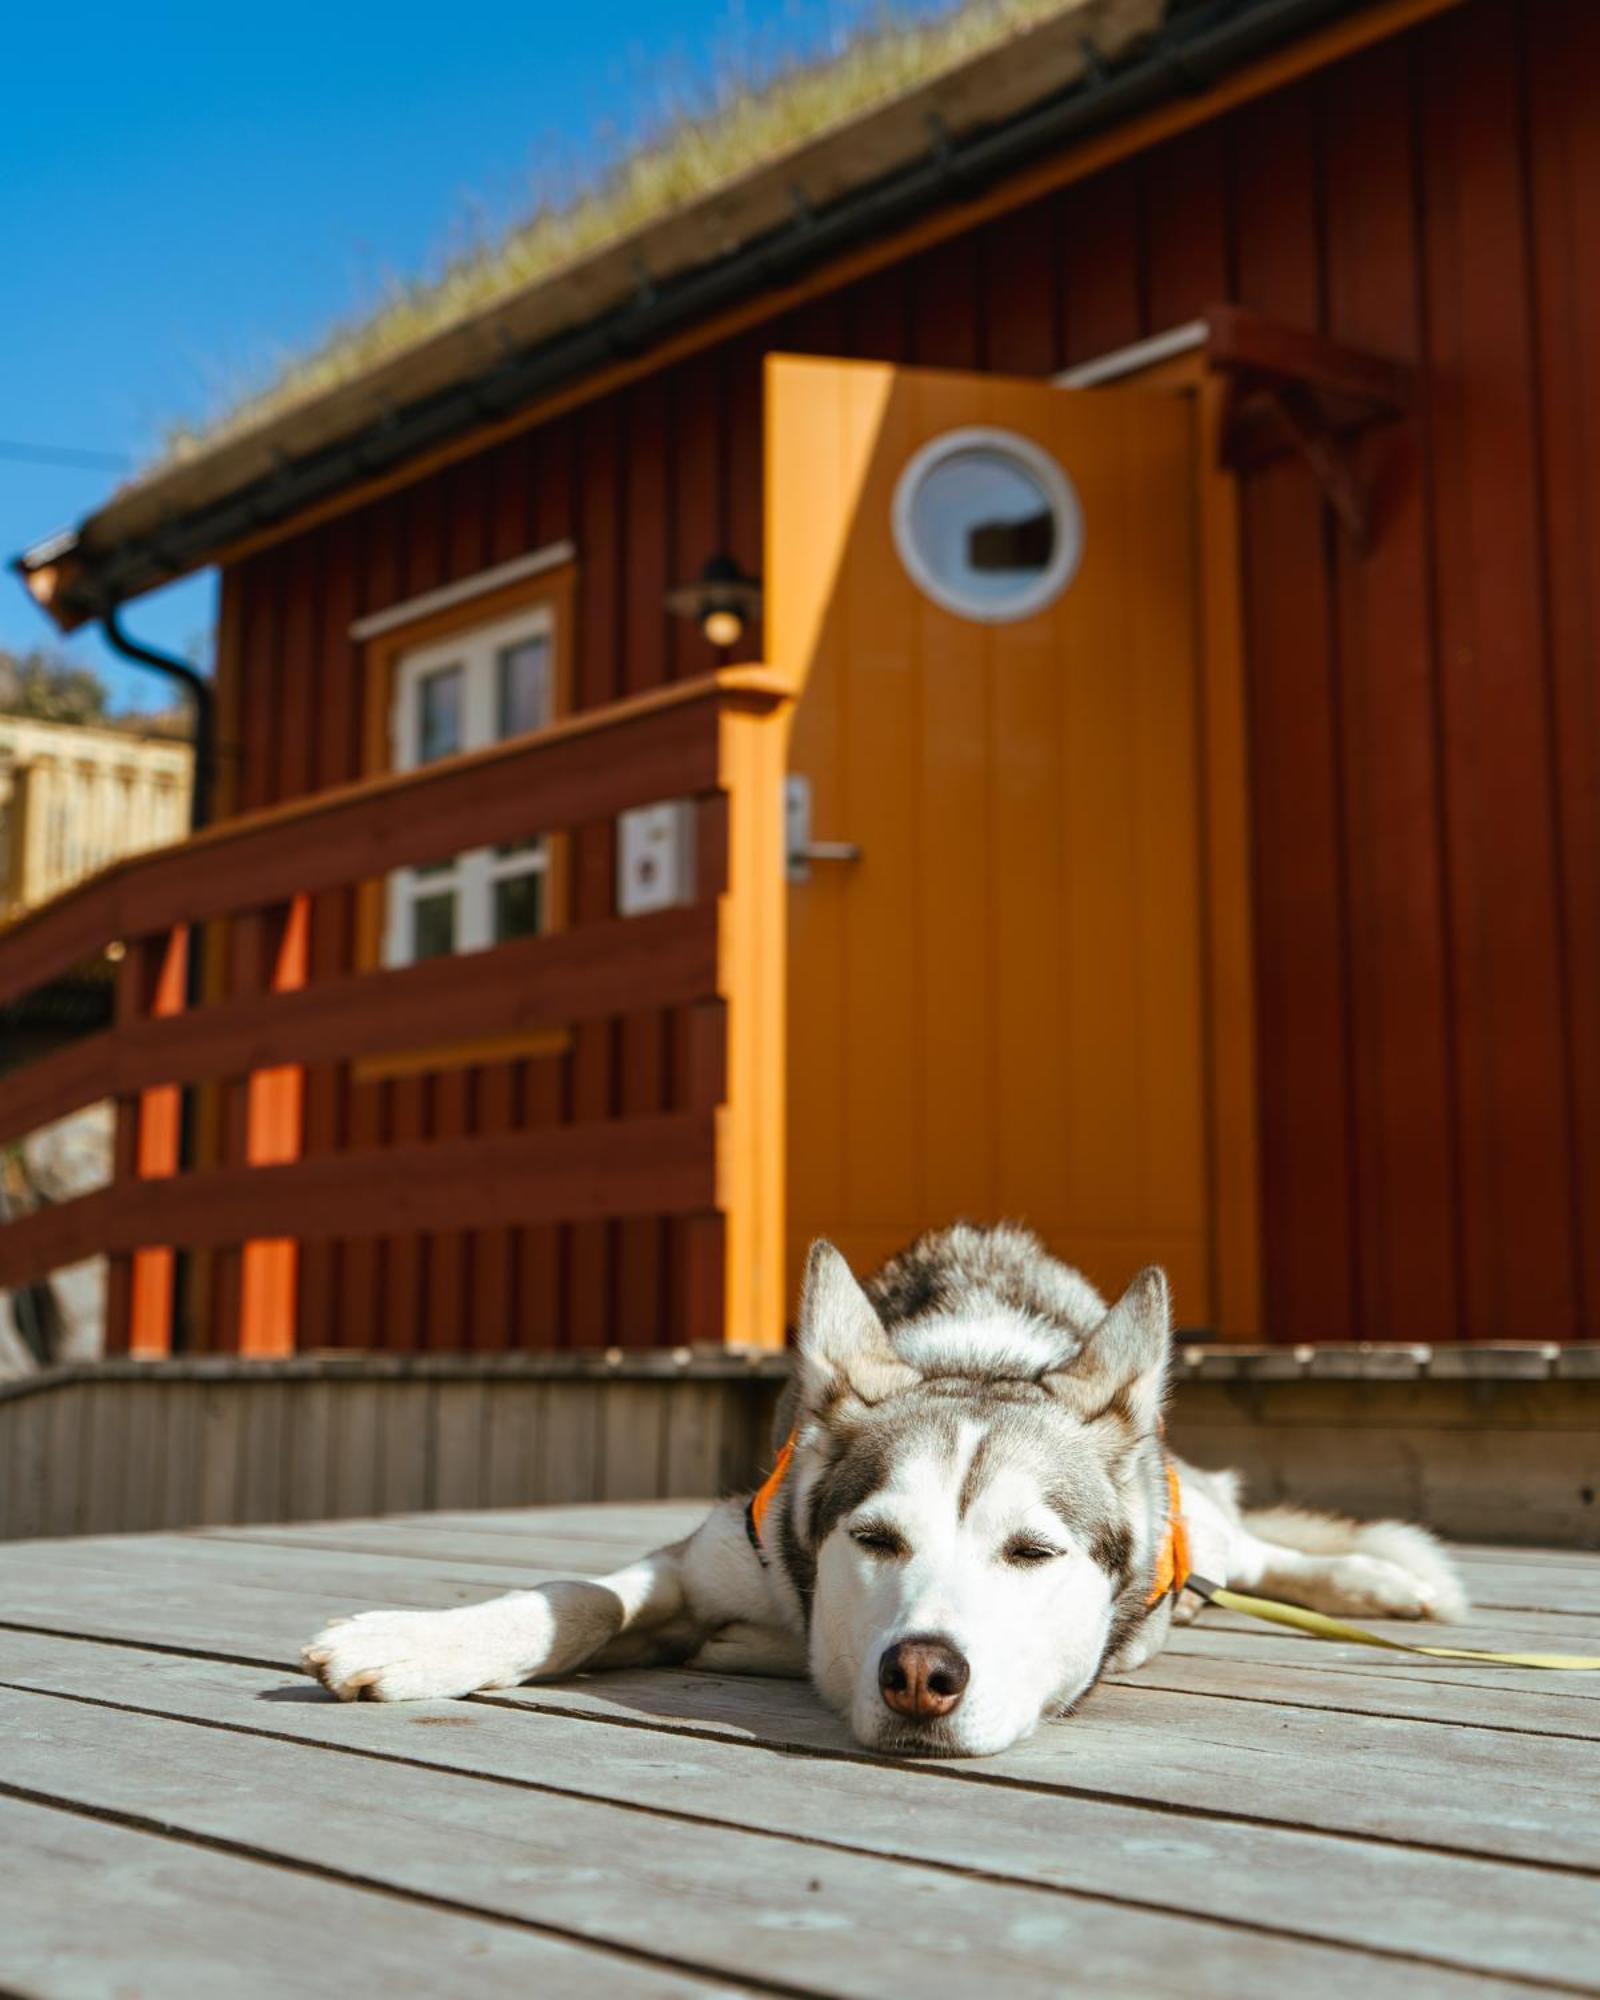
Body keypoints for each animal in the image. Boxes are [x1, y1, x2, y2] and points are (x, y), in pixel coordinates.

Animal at [300, 1216, 1464, 1752]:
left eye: (1032, 1552)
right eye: (874, 1540)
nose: (921, 1673)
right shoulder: (716, 1553)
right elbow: (577, 1597)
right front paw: (425, 1641)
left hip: (1192, 1523)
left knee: (1253, 1547)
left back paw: (1378, 1581)